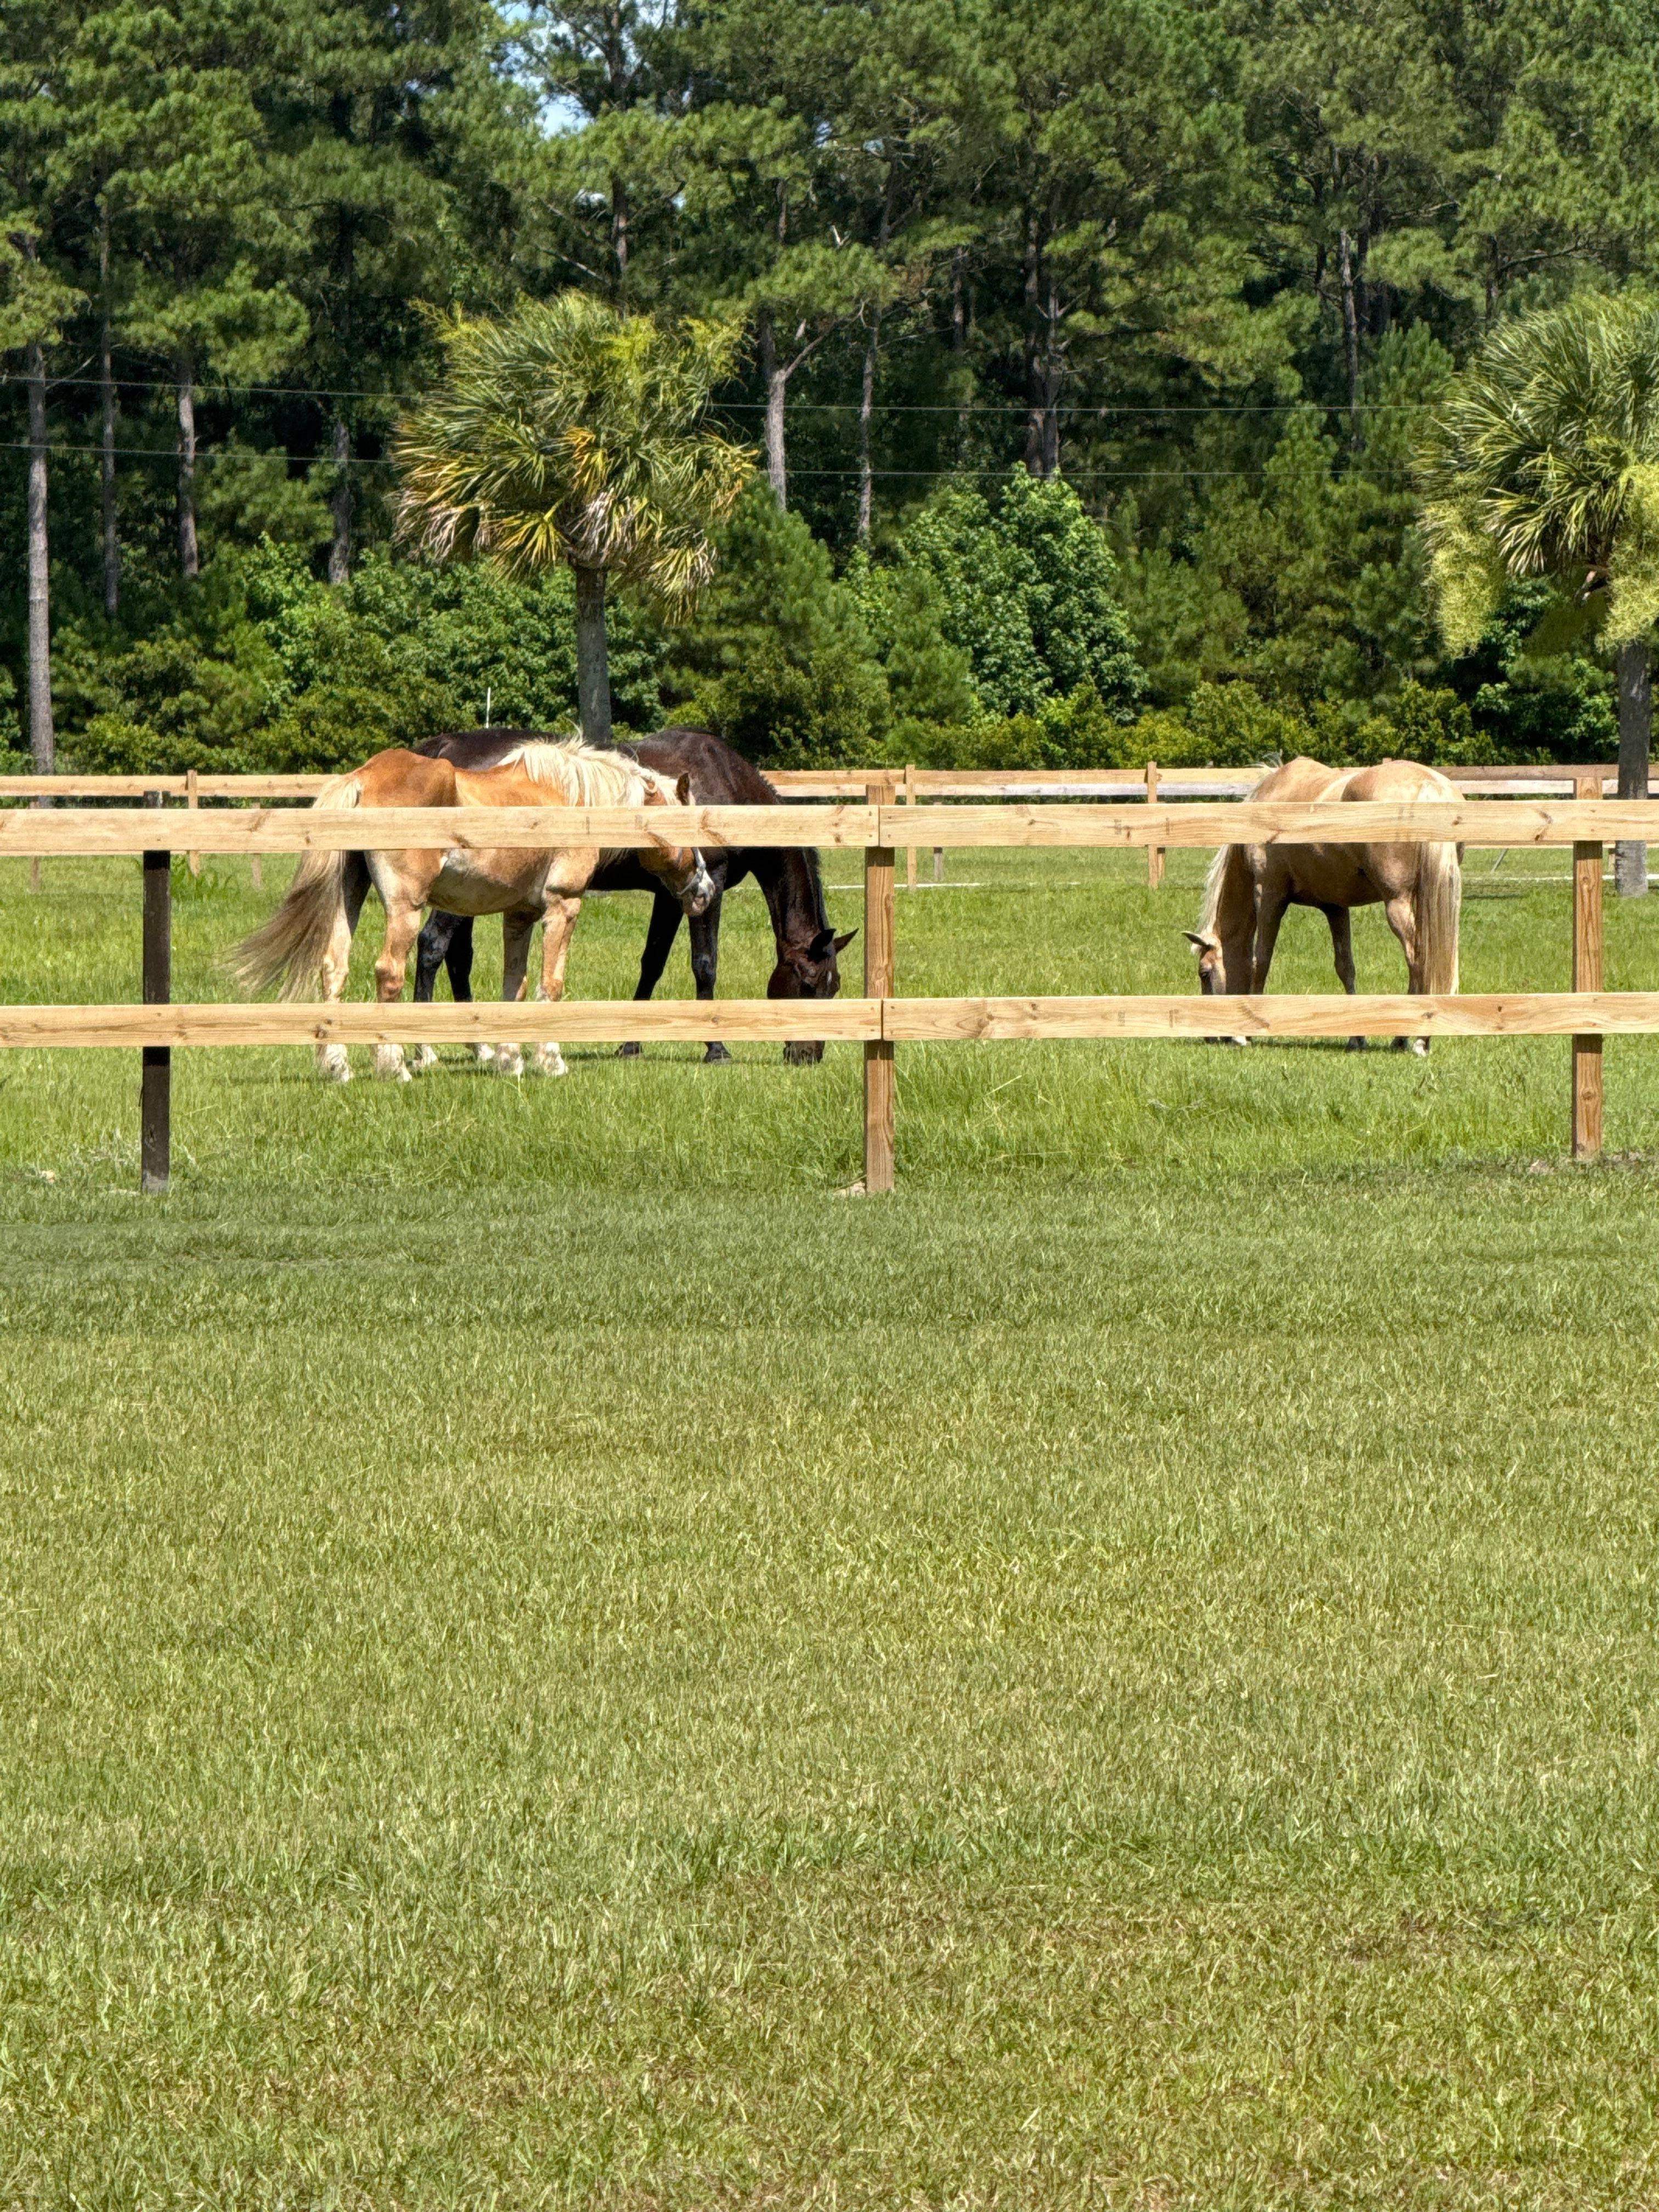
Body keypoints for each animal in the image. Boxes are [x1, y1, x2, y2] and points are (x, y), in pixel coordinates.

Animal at [233, 738, 714, 1084]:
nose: (705, 891)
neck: (573, 802)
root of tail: (363, 778)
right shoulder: (563, 906)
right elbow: (551, 985)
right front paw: (551, 1061)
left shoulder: (519, 916)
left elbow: (515, 986)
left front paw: (509, 1060)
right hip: (405, 908)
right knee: (389, 973)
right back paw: (396, 1066)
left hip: (348, 898)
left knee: (334, 969)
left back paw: (338, 1066)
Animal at [409, 728, 854, 1066]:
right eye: (808, 982)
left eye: (833, 989)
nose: (808, 1055)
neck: (726, 784)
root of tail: (443, 749)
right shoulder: (709, 888)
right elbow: (705, 964)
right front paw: (716, 1048)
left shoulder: (672, 895)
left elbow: (652, 962)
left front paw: (630, 1043)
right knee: (433, 946)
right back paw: (425, 1050)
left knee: (457, 956)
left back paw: (481, 1046)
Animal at [1183, 756, 1463, 1054]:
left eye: (1204, 973)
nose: (1210, 1037)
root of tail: (1430, 786)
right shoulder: (1335, 907)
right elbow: (1345, 967)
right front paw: (1356, 1038)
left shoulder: (1268, 896)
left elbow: (1261, 959)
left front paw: (1246, 1035)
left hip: (1397, 905)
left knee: (1419, 960)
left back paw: (1417, 1038)